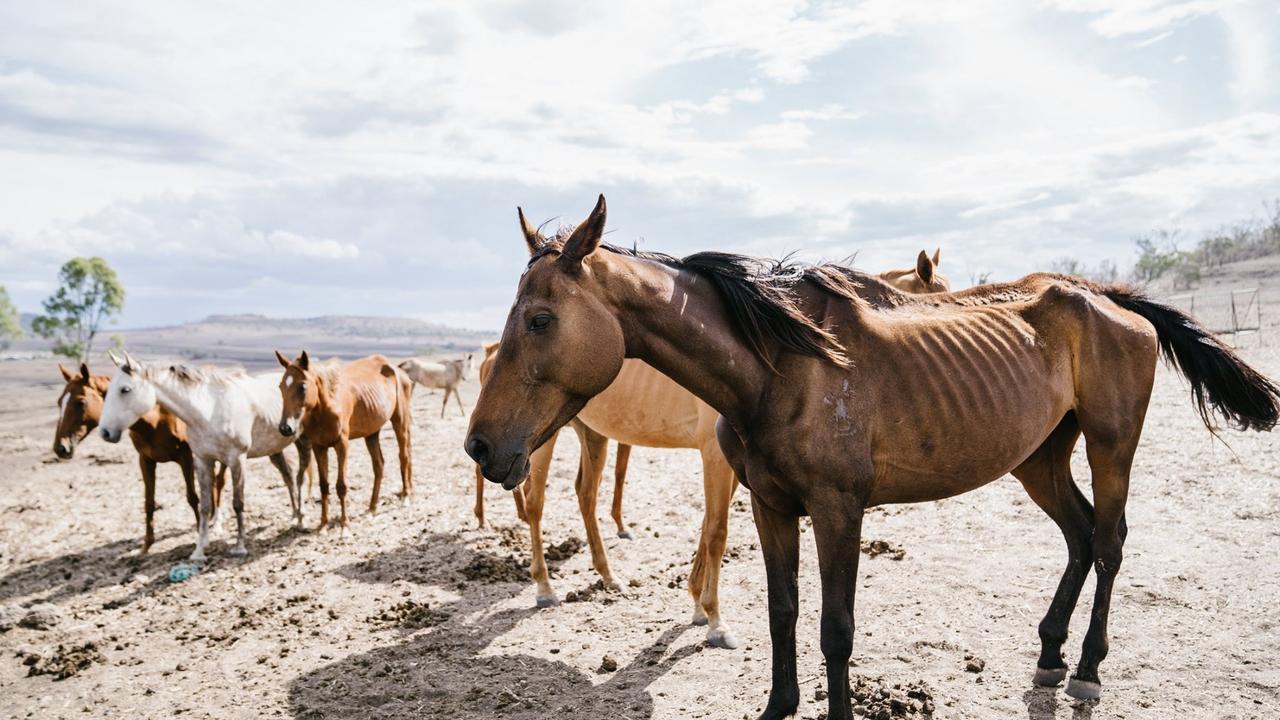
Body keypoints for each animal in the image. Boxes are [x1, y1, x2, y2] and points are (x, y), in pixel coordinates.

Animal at [97, 351, 312, 561]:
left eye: (125, 389)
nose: (105, 432)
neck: (209, 411)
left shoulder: (237, 460)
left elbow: (238, 503)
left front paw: (239, 547)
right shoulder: (202, 461)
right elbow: (205, 505)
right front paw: (199, 551)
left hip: (301, 443)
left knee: (297, 475)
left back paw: (299, 518)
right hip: (274, 450)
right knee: (288, 475)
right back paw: (294, 516)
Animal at [275, 351, 414, 527]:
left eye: (302, 387)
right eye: (281, 386)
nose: (285, 428)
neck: (326, 408)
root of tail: (397, 370)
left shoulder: (342, 445)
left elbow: (341, 486)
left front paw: (344, 526)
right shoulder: (319, 447)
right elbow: (324, 485)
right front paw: (323, 525)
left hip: (399, 422)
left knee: (404, 456)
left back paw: (406, 497)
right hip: (372, 433)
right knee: (379, 466)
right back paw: (372, 509)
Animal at [468, 194, 1280, 717]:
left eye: (540, 319)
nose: (480, 446)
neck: (782, 366)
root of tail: (1110, 299)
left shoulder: (839, 511)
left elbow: (836, 629)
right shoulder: (770, 505)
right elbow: (784, 613)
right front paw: (776, 707)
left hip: (1112, 448)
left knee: (1109, 543)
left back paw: (1084, 670)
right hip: (1040, 459)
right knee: (1080, 536)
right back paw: (1049, 657)